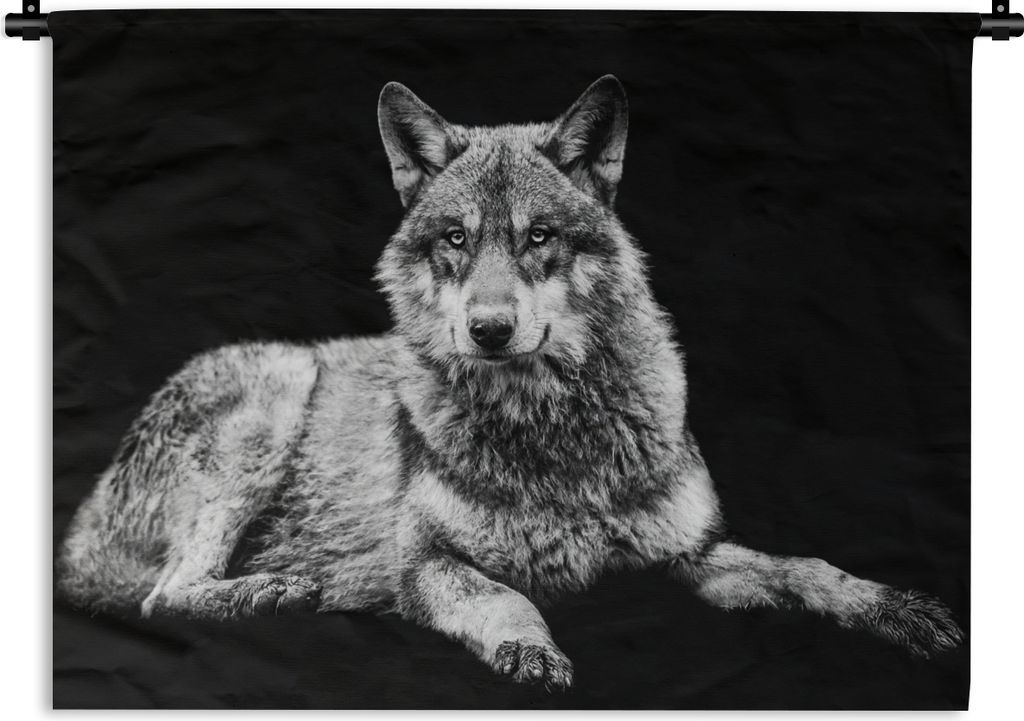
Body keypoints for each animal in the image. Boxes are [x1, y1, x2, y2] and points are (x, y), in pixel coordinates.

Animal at [57, 75, 963, 689]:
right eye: (456, 238)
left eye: (539, 237)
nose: (488, 329)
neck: (551, 431)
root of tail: (80, 524)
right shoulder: (427, 563)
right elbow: (505, 598)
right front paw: (531, 649)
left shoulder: (691, 554)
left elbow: (809, 567)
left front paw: (897, 607)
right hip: (275, 392)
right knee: (161, 598)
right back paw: (276, 590)